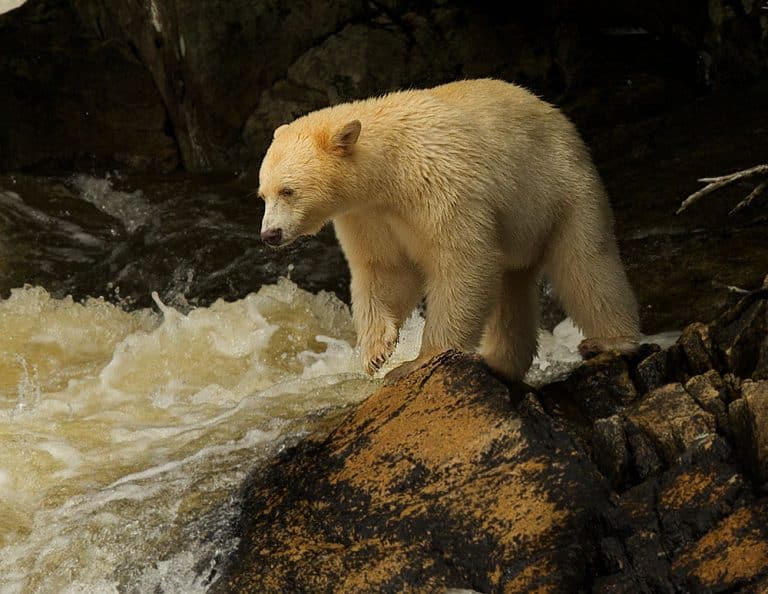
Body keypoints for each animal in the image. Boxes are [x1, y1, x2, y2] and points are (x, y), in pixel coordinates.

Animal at [258, 78, 640, 382]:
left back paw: (610, 340)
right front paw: (377, 351)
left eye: (287, 191)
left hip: (562, 189)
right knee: (511, 289)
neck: (391, 170)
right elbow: (386, 269)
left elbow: (461, 260)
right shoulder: (367, 215)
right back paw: (500, 362)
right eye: (263, 194)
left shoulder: (440, 184)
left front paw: (419, 360)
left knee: (586, 263)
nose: (269, 235)